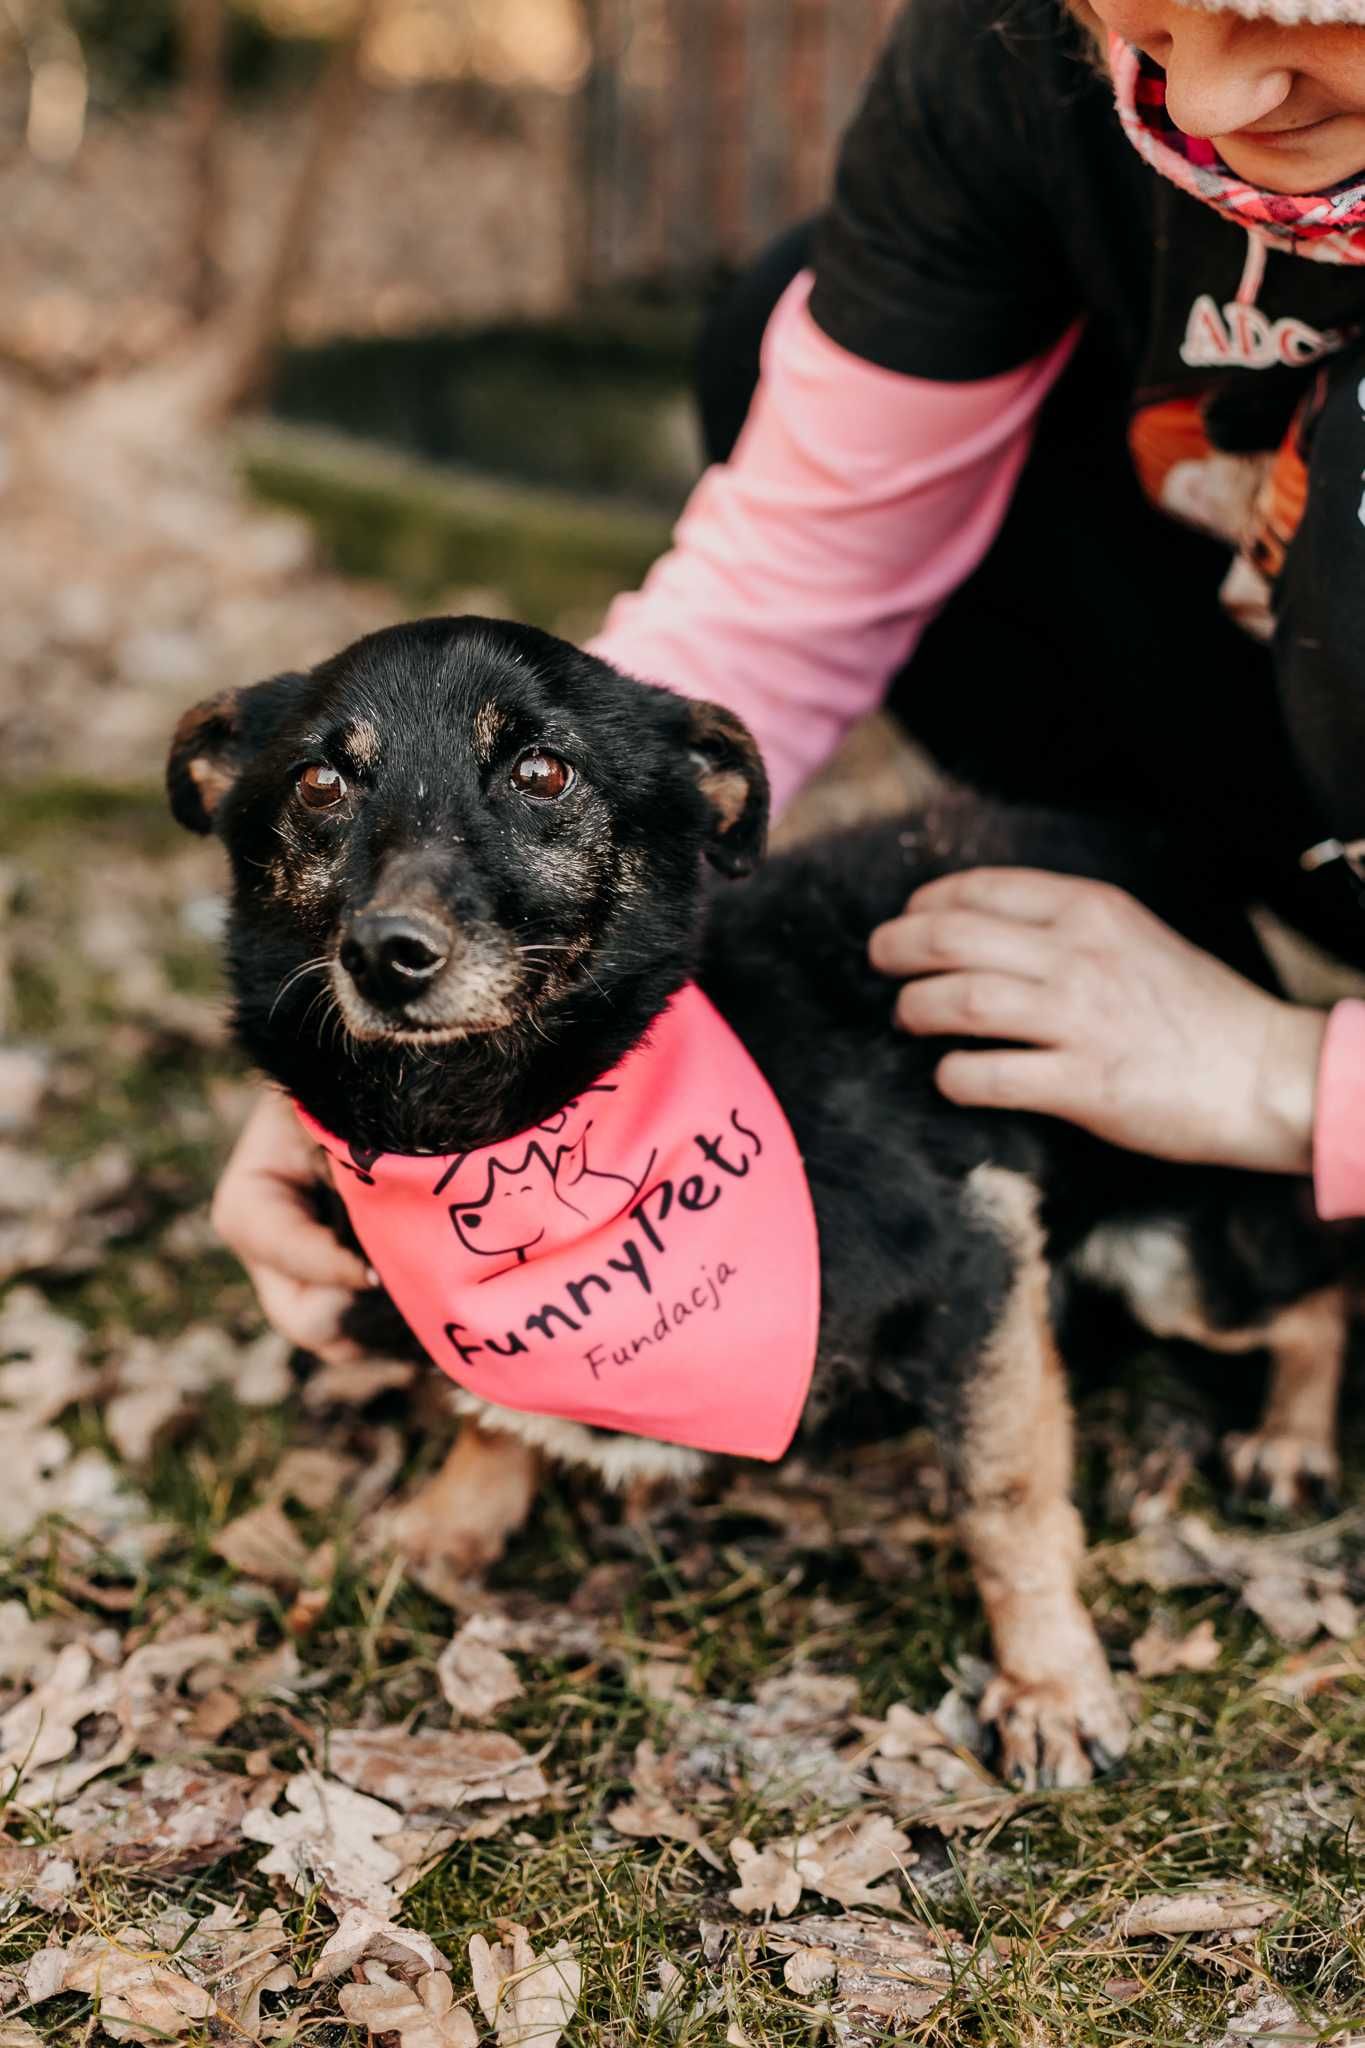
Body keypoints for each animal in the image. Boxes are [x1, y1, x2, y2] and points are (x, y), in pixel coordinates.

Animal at [167, 614, 1342, 1785]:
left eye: (542, 772)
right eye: (320, 781)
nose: (386, 953)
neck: (499, 1129)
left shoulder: (976, 1255)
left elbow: (1002, 1499)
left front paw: (1049, 1684)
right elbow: (484, 1409)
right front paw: (449, 1521)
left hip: (1178, 1255)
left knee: (1317, 1287)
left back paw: (1290, 1440)